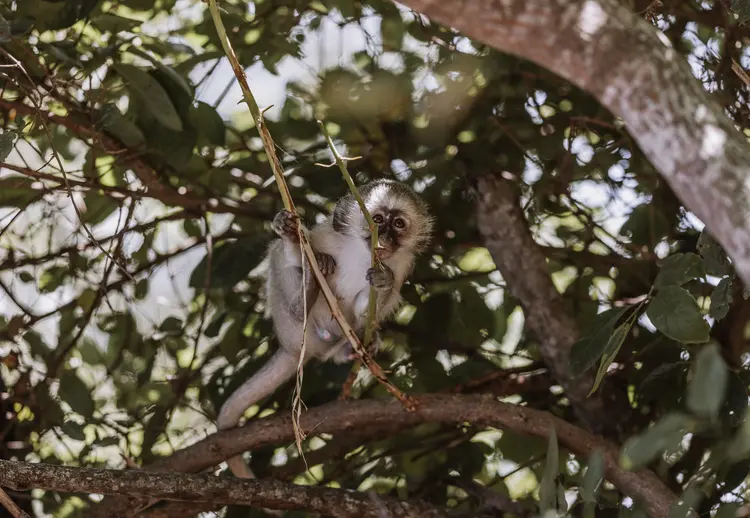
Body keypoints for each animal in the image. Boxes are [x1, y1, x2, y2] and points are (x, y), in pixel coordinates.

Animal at [216, 179, 433, 479]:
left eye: (399, 224)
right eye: (377, 220)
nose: (386, 237)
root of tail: (295, 347)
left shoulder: (400, 266)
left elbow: (370, 307)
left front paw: (382, 281)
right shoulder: (328, 236)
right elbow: (294, 253)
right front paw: (291, 236)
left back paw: (353, 346)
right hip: (290, 325)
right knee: (280, 257)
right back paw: (306, 291)